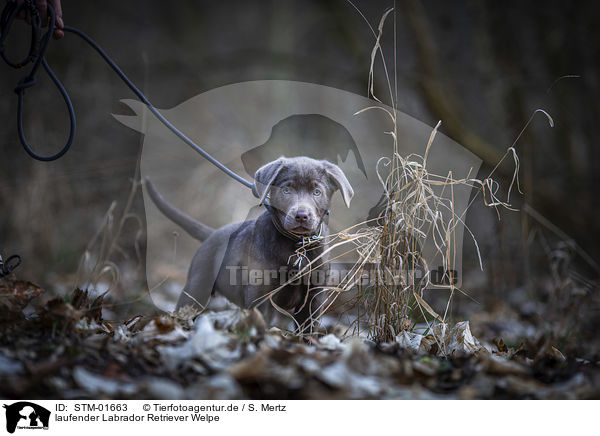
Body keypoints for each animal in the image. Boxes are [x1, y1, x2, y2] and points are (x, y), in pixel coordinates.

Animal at [145, 157, 352, 330]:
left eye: (317, 192)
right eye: (286, 190)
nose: (301, 215)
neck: (296, 245)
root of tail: (212, 233)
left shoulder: (313, 296)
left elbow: (307, 328)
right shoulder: (260, 293)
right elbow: (260, 321)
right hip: (197, 287)